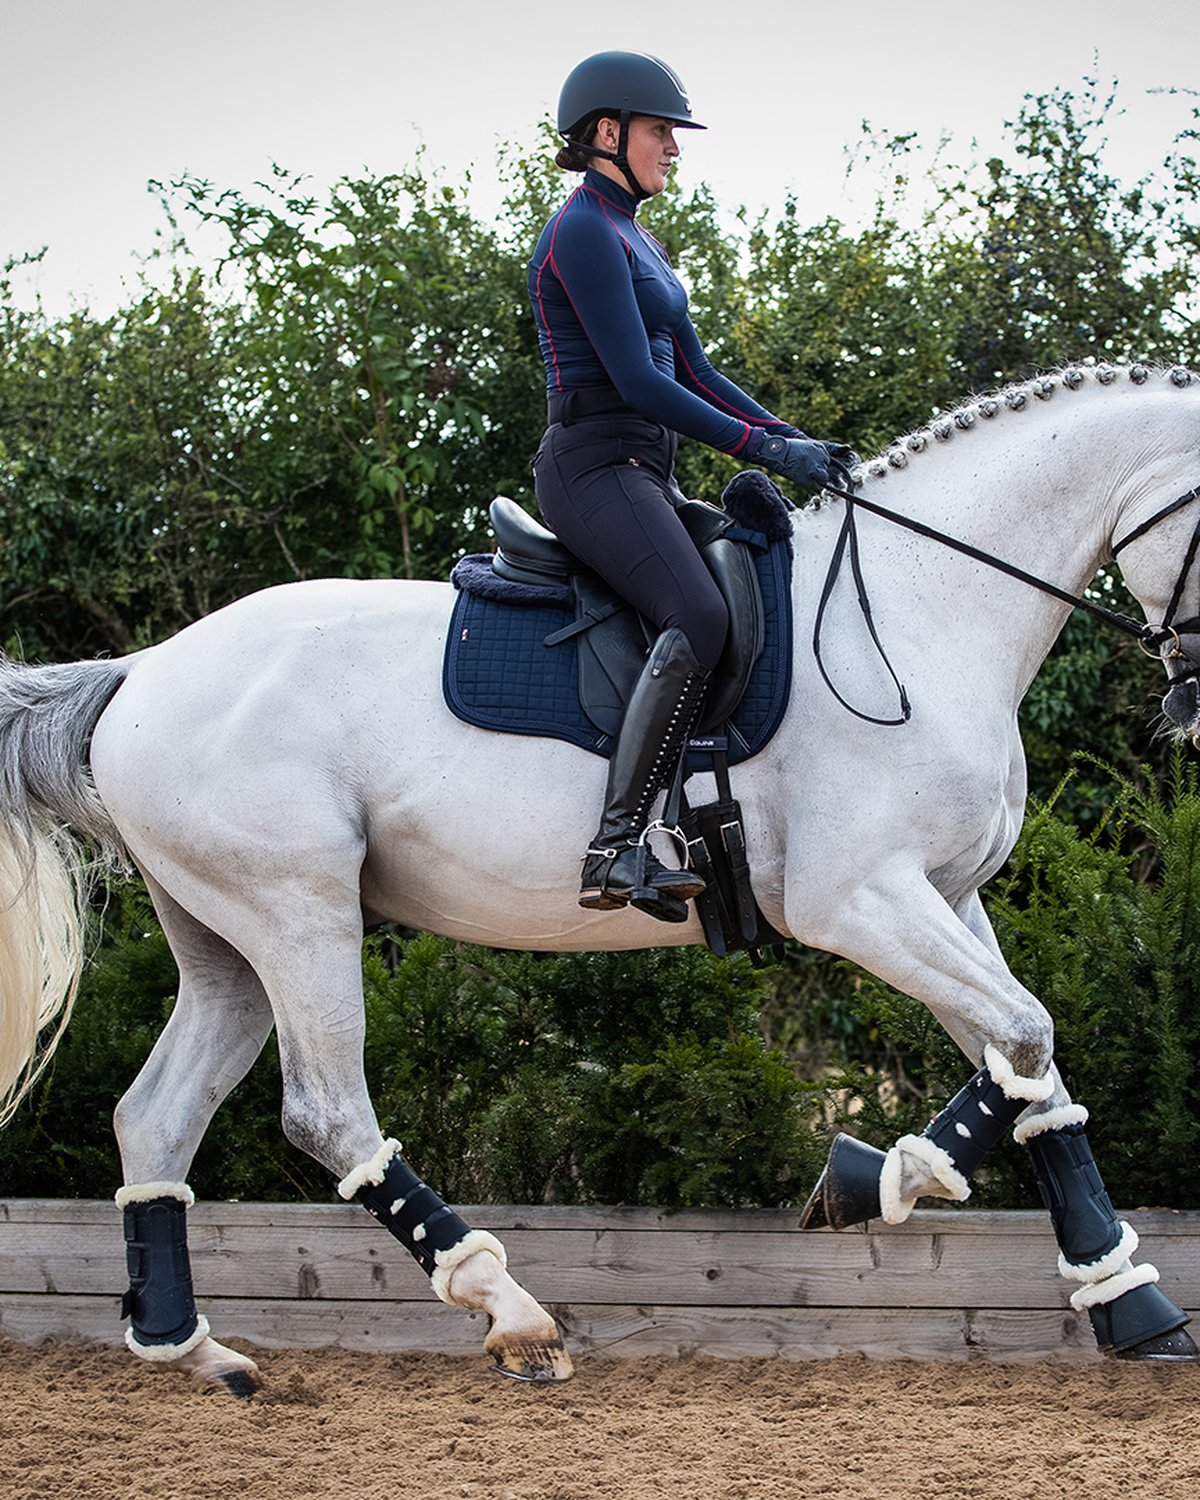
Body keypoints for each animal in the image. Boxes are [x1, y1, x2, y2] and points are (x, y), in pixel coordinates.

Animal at [2, 362, 1199, 1394]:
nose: (1190, 706)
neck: (919, 609)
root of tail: (143, 670)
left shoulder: (947, 896)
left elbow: (1032, 1072)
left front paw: (1130, 1306)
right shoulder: (859, 900)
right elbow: (1029, 1037)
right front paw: (873, 1184)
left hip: (228, 946)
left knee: (156, 1118)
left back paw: (194, 1351)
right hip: (300, 917)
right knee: (328, 1117)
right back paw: (512, 1314)